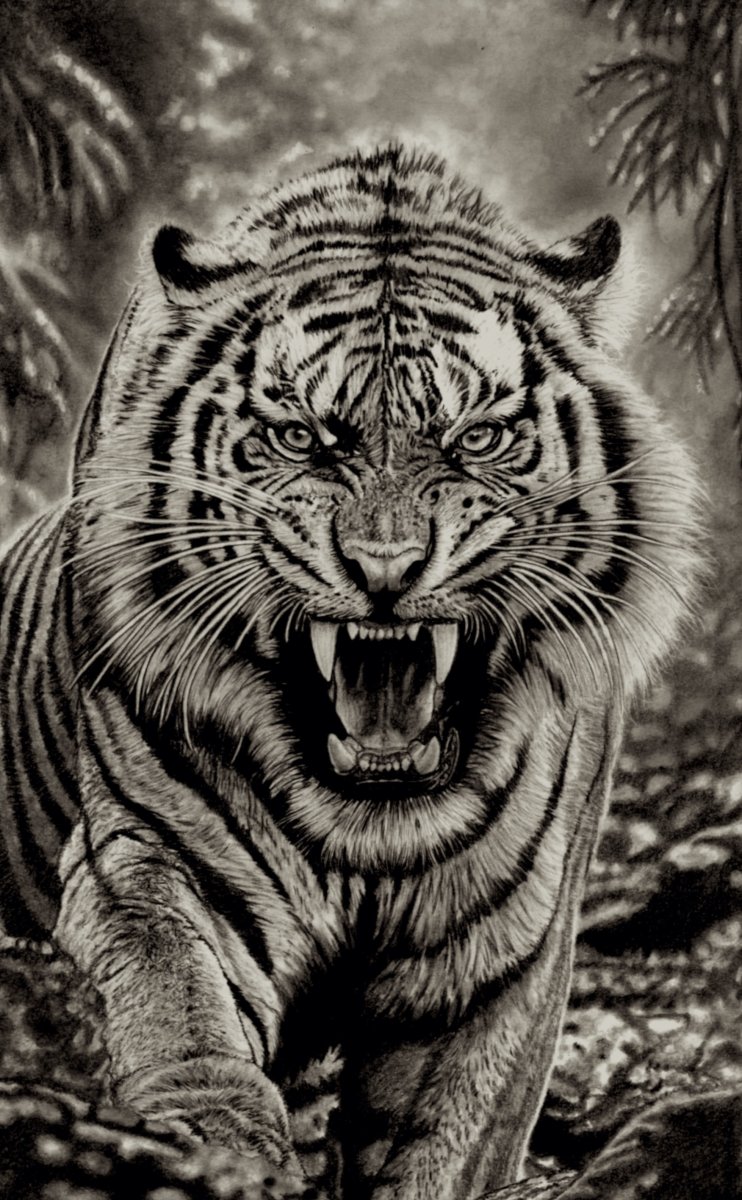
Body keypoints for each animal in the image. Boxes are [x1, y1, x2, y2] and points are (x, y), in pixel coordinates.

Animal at [0, 144, 701, 1199]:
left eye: (477, 438)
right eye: (301, 438)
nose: (385, 568)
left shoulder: (503, 954)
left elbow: (441, 1146)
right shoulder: (152, 857)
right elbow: (184, 1021)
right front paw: (214, 1154)